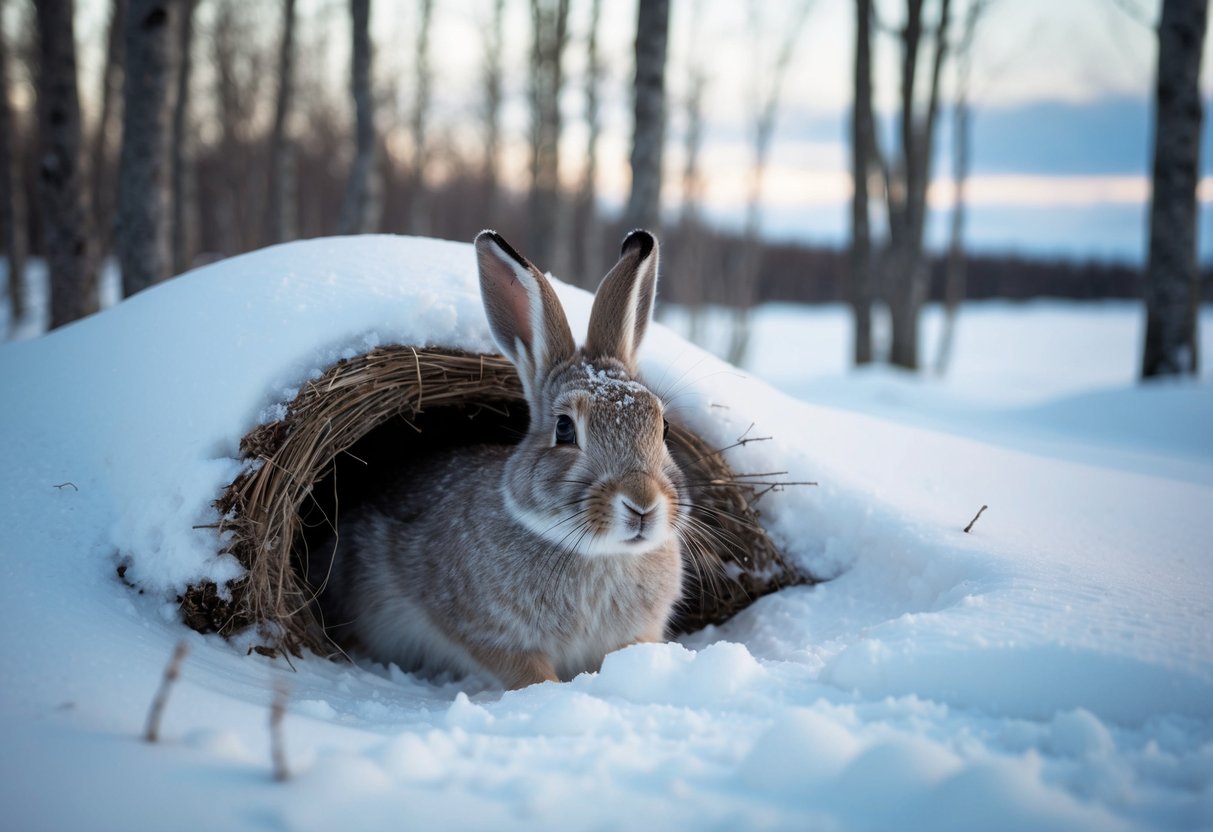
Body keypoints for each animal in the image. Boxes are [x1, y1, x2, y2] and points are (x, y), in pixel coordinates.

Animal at [309, 229, 686, 689]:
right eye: (564, 429)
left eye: (662, 427)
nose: (642, 502)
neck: (599, 553)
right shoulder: (486, 634)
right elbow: (528, 675)